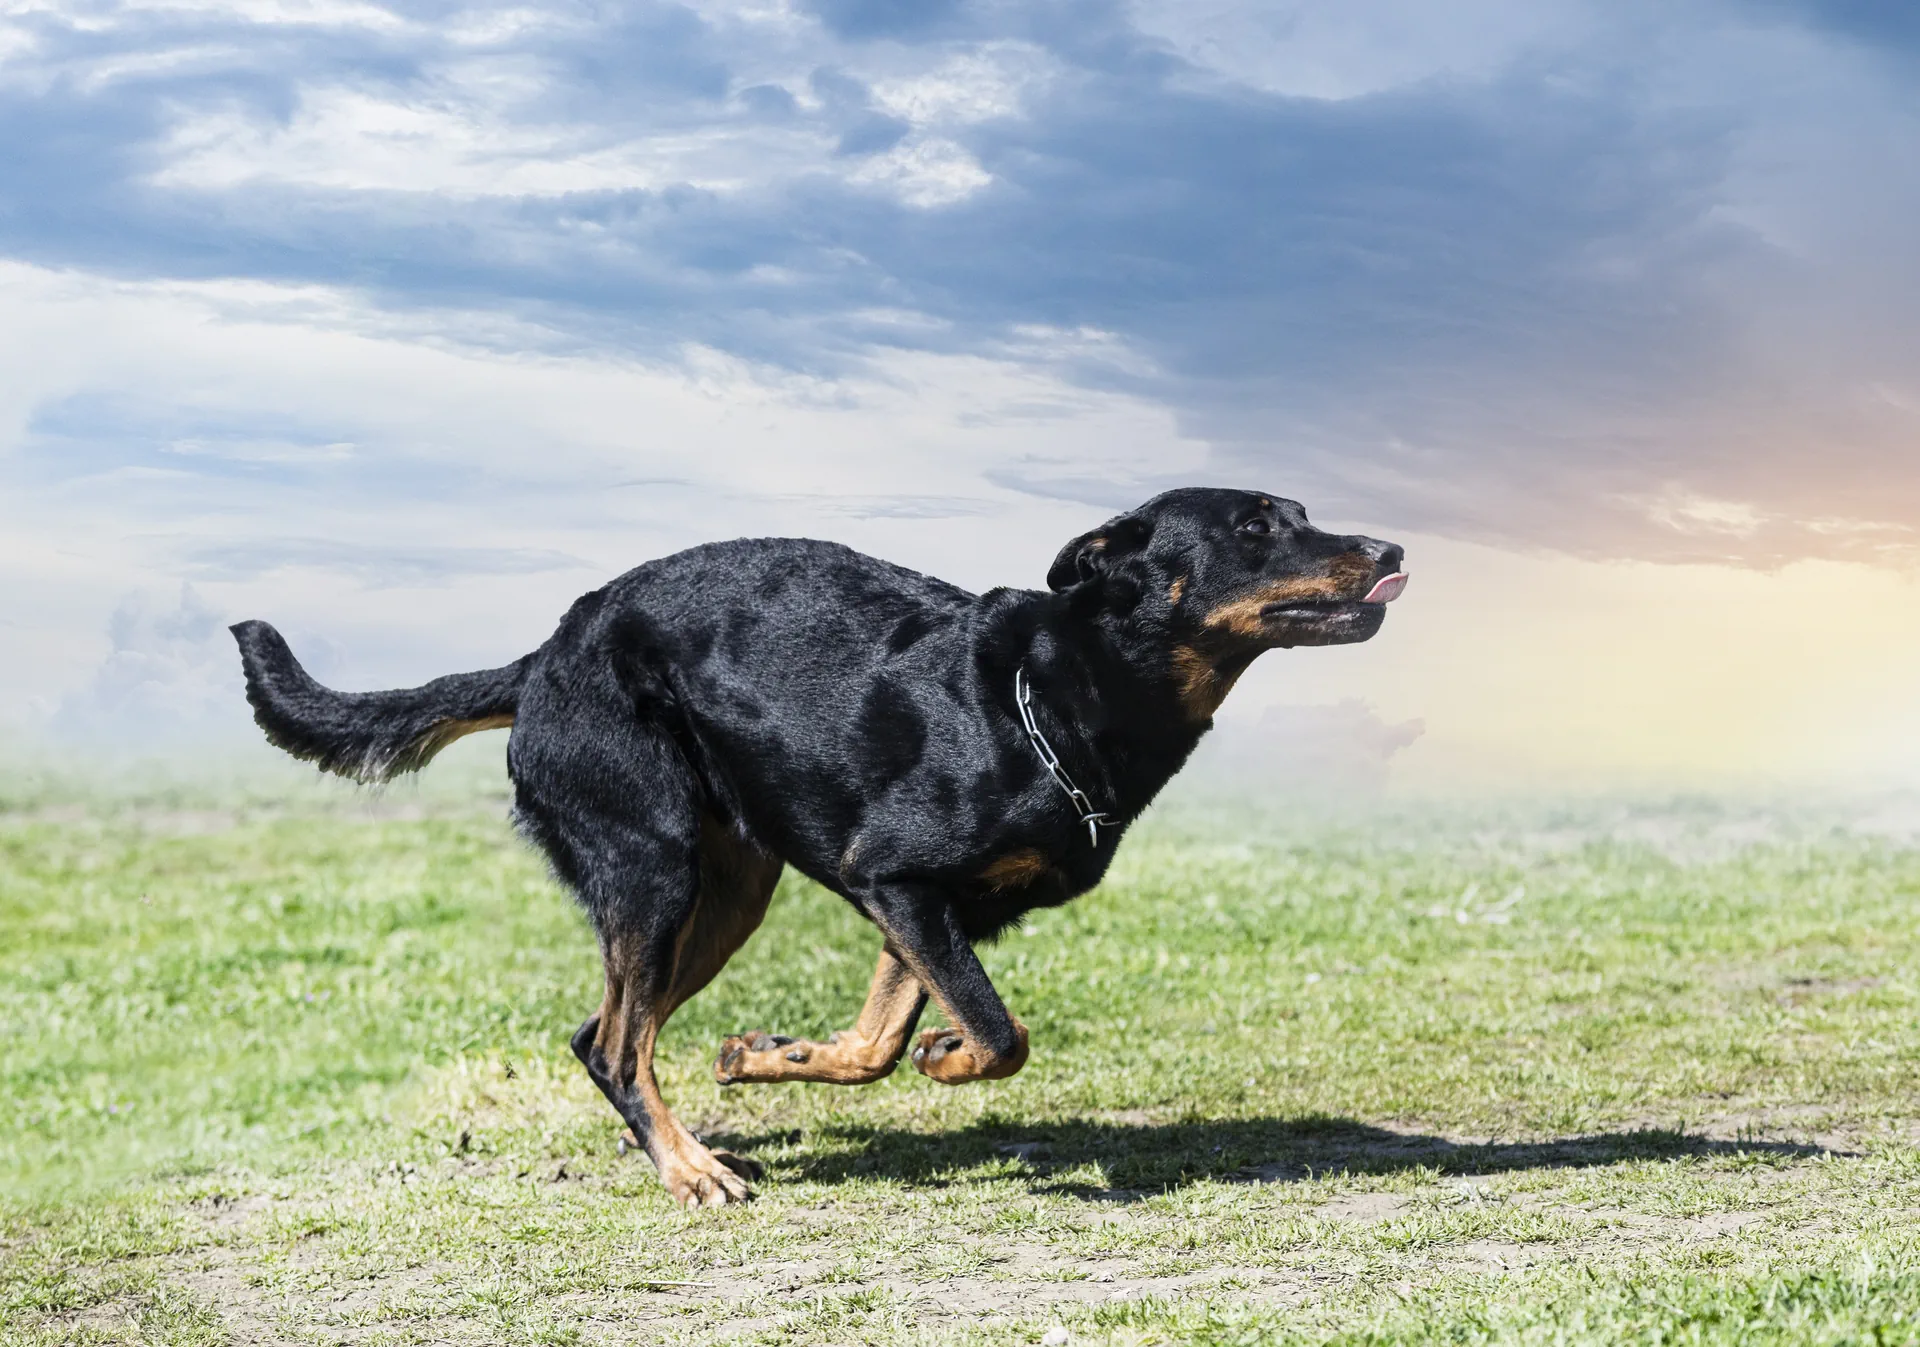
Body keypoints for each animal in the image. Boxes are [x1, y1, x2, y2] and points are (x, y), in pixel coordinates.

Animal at [236, 491, 1413, 1205]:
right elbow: (999, 1033)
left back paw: (683, 1136)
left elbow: (884, 1040)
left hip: (726, 892)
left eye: (1300, 516)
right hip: (656, 868)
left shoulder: (926, 909)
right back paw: (691, 1171)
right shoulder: (894, 878)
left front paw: (778, 1056)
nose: (1393, 549)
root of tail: (543, 657)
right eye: (1255, 528)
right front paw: (947, 1057)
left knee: (605, 1034)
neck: (1049, 692)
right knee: (618, 1043)